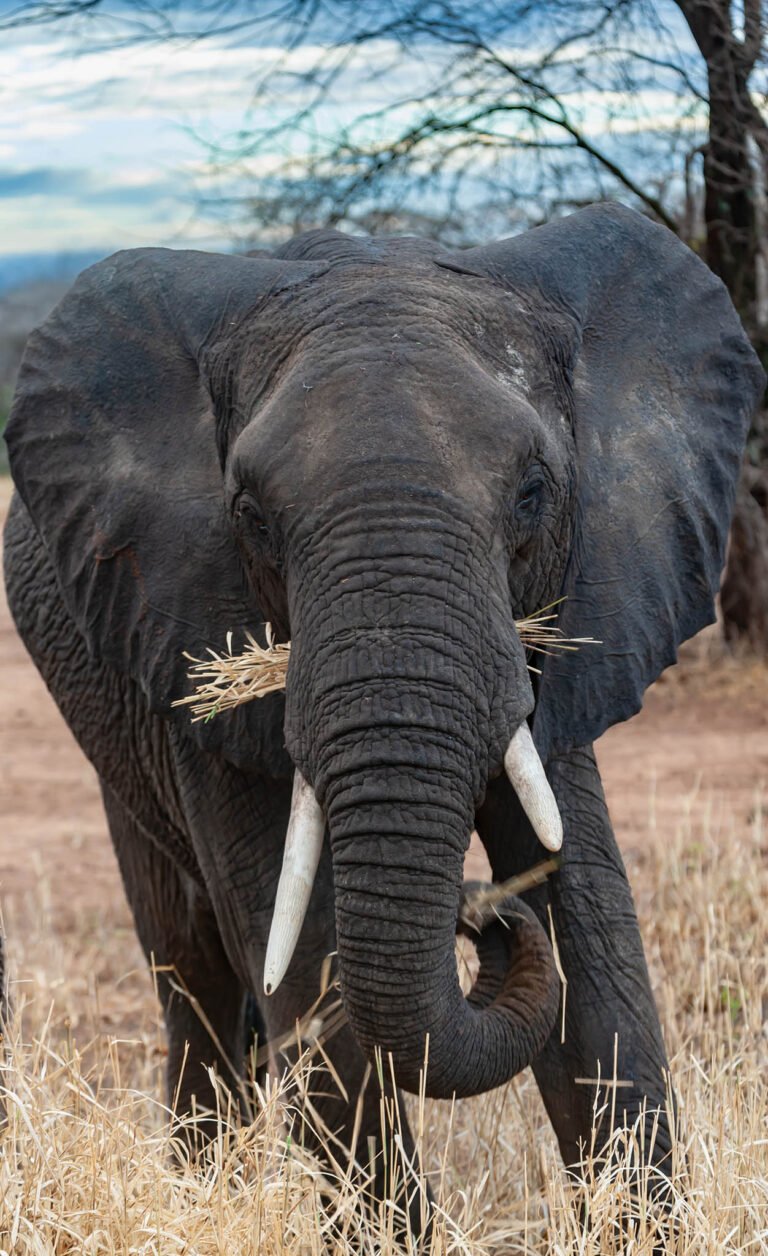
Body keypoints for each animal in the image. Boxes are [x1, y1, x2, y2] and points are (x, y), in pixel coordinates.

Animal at [4, 200, 764, 1240]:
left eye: (534, 491)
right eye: (251, 514)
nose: (481, 913)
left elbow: (590, 921)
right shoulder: (187, 626)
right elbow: (304, 957)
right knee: (194, 973)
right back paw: (204, 1191)